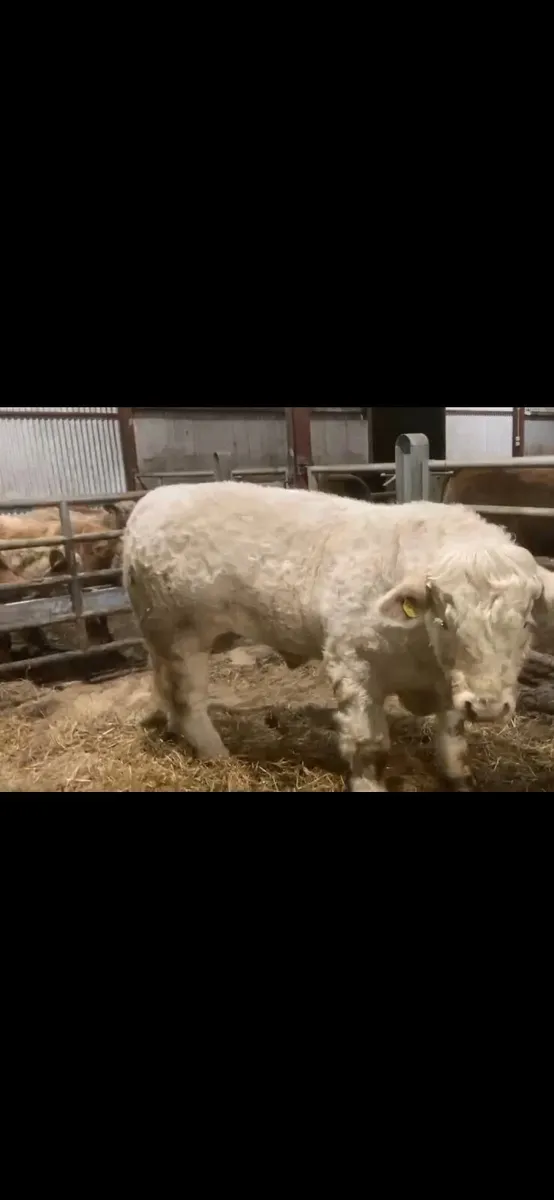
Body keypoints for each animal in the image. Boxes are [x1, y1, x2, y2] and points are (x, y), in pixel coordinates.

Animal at [123, 482, 554, 793]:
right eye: (445, 620)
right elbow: (369, 745)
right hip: (181, 633)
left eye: (526, 622)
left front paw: (459, 778)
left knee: (165, 686)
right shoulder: (353, 665)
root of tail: (150, 501)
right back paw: (217, 755)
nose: (487, 707)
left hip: (161, 633)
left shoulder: (449, 683)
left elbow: (452, 737)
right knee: (188, 699)